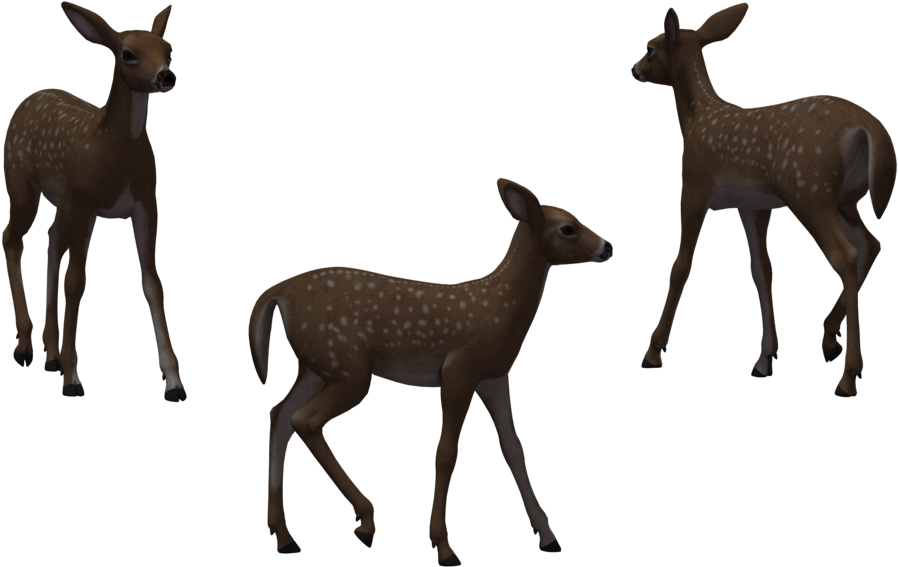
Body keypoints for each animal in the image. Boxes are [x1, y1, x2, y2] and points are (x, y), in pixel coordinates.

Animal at [2, 3, 186, 401]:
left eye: (168, 50)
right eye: (128, 54)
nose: (167, 76)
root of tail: (30, 97)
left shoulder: (146, 204)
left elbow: (152, 282)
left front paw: (174, 382)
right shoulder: (84, 203)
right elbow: (76, 282)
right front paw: (73, 379)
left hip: (61, 198)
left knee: (51, 244)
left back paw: (50, 356)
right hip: (21, 181)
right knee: (11, 237)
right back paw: (25, 348)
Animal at [252, 178, 612, 565]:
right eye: (568, 228)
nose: (607, 246)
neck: (500, 308)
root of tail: (278, 291)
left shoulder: (495, 380)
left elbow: (514, 449)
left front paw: (547, 536)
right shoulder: (458, 371)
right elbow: (446, 452)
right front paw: (444, 546)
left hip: (316, 367)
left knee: (279, 414)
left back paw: (284, 535)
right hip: (347, 368)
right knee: (304, 419)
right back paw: (365, 521)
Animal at [631, 3, 896, 398]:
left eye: (650, 48)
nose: (634, 69)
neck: (695, 120)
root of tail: (870, 127)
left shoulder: (693, 187)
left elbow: (680, 266)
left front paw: (653, 350)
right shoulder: (754, 205)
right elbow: (762, 270)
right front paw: (764, 359)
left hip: (808, 191)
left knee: (845, 254)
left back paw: (848, 376)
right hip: (845, 198)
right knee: (871, 243)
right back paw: (830, 338)